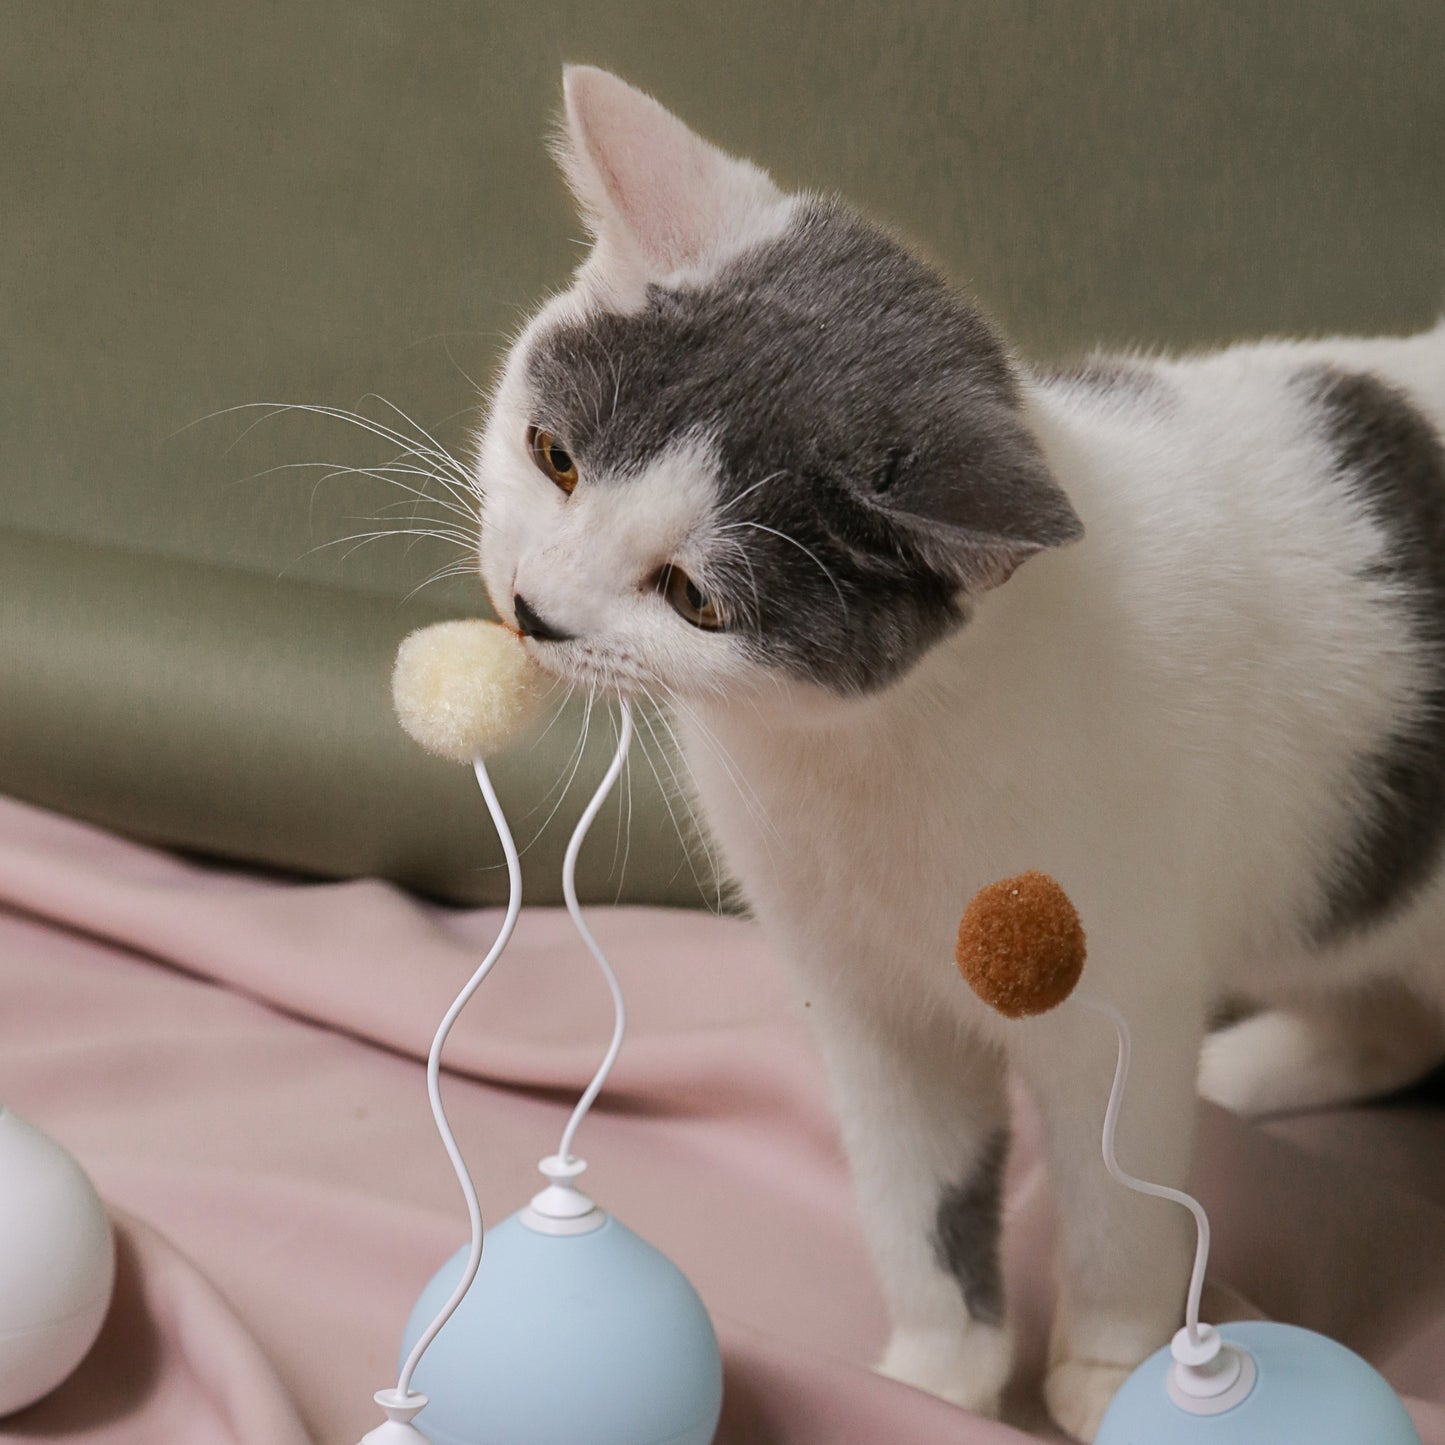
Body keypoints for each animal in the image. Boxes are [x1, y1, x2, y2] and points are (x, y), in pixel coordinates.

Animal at [476, 70, 1445, 1445]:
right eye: (553, 455)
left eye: (693, 597)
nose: (534, 610)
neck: (865, 759)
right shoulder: (865, 998)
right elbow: (914, 1194)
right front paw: (933, 1375)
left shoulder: (1119, 990)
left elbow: (1116, 1201)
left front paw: (1109, 1366)